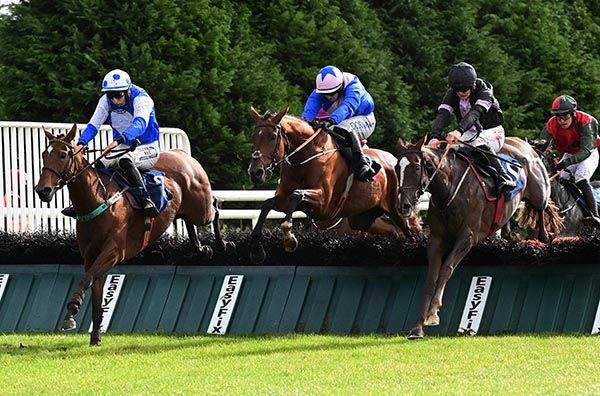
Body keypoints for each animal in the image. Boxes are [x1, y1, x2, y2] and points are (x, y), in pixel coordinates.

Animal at [35, 124, 232, 344]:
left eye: (63, 155)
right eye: (44, 154)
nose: (43, 190)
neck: (98, 199)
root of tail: (182, 154)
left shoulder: (114, 252)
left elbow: (87, 279)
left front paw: (71, 312)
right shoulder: (90, 256)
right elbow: (94, 288)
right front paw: (95, 335)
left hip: (201, 209)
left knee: (214, 205)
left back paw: (223, 243)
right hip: (186, 211)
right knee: (190, 220)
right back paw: (201, 248)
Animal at [246, 107, 420, 262]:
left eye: (272, 136)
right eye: (253, 136)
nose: (255, 172)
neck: (305, 156)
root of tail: (394, 161)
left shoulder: (324, 203)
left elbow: (297, 194)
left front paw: (289, 236)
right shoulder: (285, 198)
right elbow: (267, 204)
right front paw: (256, 250)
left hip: (396, 210)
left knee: (409, 232)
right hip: (362, 218)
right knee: (392, 231)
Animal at [396, 135, 560, 338]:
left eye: (417, 166)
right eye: (397, 168)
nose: (403, 206)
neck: (449, 190)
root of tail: (523, 142)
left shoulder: (467, 237)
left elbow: (446, 269)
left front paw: (433, 313)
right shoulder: (436, 239)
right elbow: (430, 278)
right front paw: (418, 327)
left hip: (539, 191)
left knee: (542, 207)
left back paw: (545, 235)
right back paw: (512, 235)